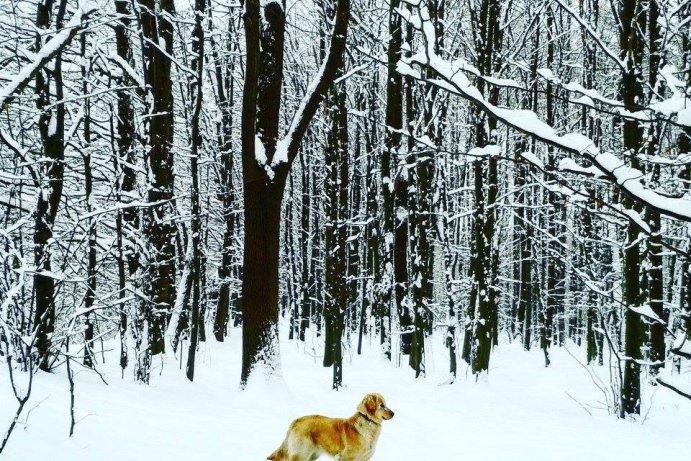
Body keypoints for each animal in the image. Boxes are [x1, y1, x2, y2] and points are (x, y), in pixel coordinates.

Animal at [266, 392, 394, 460]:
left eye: (385, 404)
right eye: (382, 405)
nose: (393, 413)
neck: (368, 420)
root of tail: (296, 420)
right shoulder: (347, 457)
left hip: (312, 455)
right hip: (301, 453)